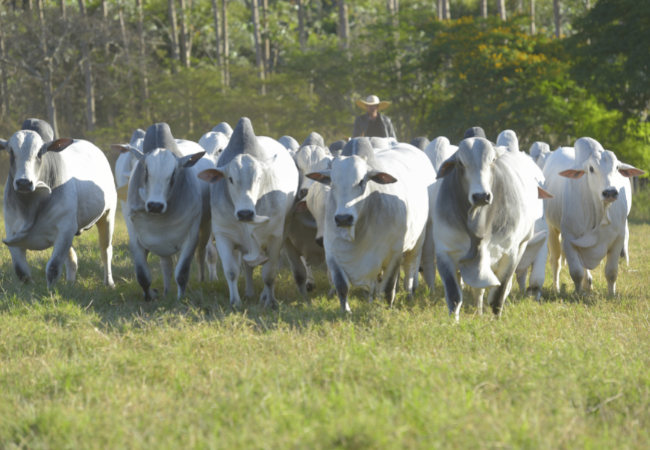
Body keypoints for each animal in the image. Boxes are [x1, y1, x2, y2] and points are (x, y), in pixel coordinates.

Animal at [0, 118, 116, 288]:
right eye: (11, 152)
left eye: (40, 153)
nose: (24, 183)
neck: (30, 206)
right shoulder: (11, 231)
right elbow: (21, 271)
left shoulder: (65, 229)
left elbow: (53, 267)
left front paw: (51, 291)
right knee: (72, 258)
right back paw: (70, 283)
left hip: (108, 214)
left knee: (105, 250)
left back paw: (109, 283)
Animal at [112, 123, 211, 298]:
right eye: (146, 170)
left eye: (173, 174)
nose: (155, 206)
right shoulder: (135, 239)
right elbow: (143, 276)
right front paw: (150, 296)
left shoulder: (191, 239)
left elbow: (182, 273)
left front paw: (180, 298)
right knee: (166, 264)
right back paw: (166, 291)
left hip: (205, 227)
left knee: (200, 255)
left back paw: (201, 280)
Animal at [197, 117, 298, 310]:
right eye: (230, 179)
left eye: (259, 177)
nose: (245, 214)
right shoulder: (223, 235)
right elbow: (231, 271)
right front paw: (235, 302)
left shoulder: (275, 238)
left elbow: (269, 274)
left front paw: (270, 301)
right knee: (247, 265)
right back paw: (249, 293)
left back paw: (263, 296)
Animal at [306, 139, 432, 312]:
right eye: (333, 183)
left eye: (361, 181)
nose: (343, 218)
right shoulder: (332, 252)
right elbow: (342, 285)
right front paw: (346, 311)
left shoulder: (395, 253)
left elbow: (388, 288)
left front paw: (387, 309)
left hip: (418, 240)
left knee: (410, 271)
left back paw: (409, 295)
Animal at [540, 139, 636, 298]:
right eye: (591, 169)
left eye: (617, 167)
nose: (610, 192)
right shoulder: (569, 239)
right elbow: (576, 272)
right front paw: (578, 293)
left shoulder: (618, 238)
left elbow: (611, 272)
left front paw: (611, 294)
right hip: (552, 228)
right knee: (555, 260)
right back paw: (557, 288)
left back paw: (588, 283)